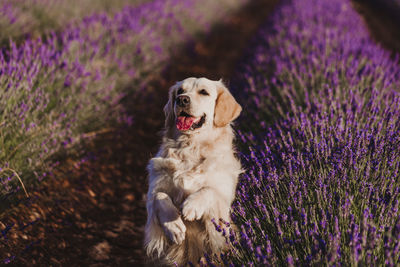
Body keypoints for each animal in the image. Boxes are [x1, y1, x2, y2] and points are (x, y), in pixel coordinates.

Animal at [145, 77, 242, 266]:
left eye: (204, 92)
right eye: (180, 91)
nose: (182, 99)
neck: (190, 147)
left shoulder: (222, 205)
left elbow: (209, 189)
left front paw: (191, 206)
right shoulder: (153, 191)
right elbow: (159, 196)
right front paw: (174, 226)